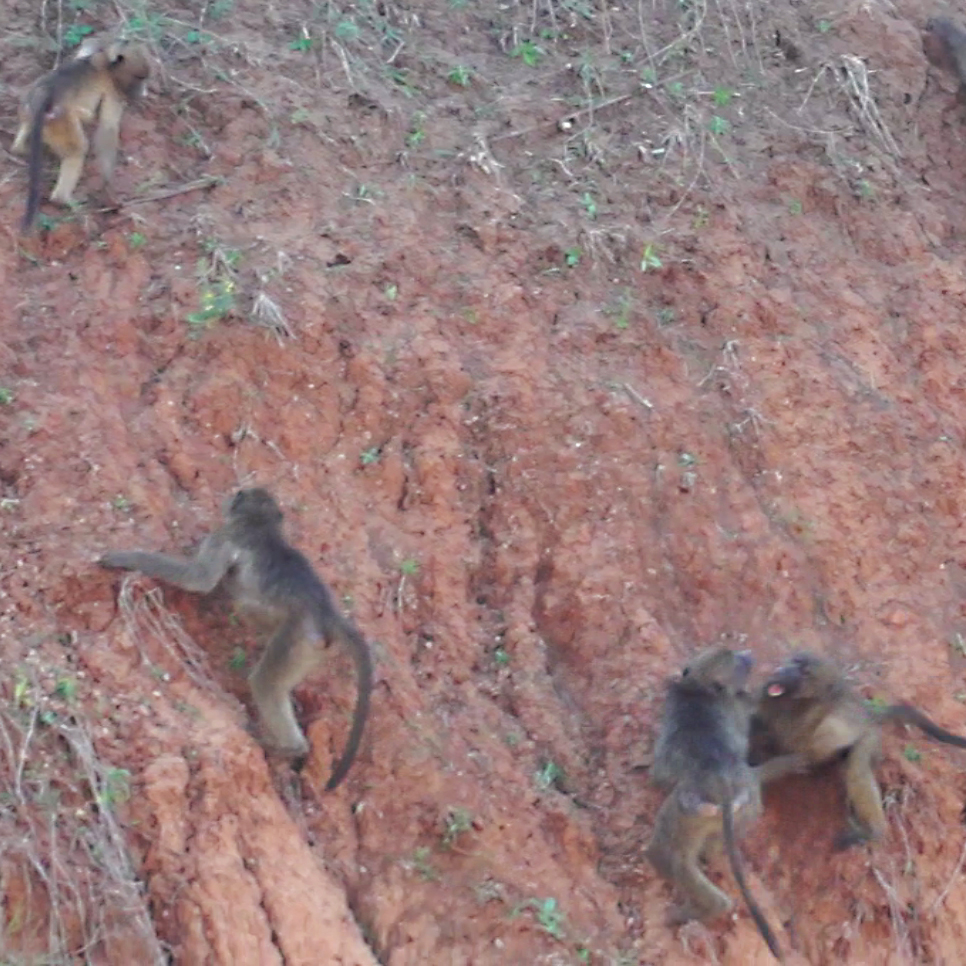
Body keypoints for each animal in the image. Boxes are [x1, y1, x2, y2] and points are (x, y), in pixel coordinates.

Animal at [12, 37, 151, 231]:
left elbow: (88, 44)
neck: (106, 62)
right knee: (77, 149)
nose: (143, 91)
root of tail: (43, 94)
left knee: (23, 138)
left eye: (144, 78)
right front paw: (109, 189)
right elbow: (108, 128)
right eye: (138, 78)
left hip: (28, 111)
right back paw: (63, 199)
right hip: (60, 120)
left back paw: (22, 148)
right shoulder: (114, 91)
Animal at [99, 487, 373, 791]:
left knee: (264, 678)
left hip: (298, 637)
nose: (229, 497)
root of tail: (327, 612)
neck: (261, 524)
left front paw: (122, 557)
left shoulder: (224, 535)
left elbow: (198, 579)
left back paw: (289, 748)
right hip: (312, 648)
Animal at [645, 647, 806, 962]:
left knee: (671, 855)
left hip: (691, 814)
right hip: (744, 810)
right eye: (738, 660)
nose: (748, 654)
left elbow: (660, 774)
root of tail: (726, 785)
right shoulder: (737, 709)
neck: (700, 689)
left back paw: (704, 907)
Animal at [753, 651, 966, 849]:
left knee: (856, 766)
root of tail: (868, 714)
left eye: (804, 671)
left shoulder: (822, 718)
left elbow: (814, 742)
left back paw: (873, 831)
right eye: (794, 662)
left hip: (870, 736)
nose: (780, 672)